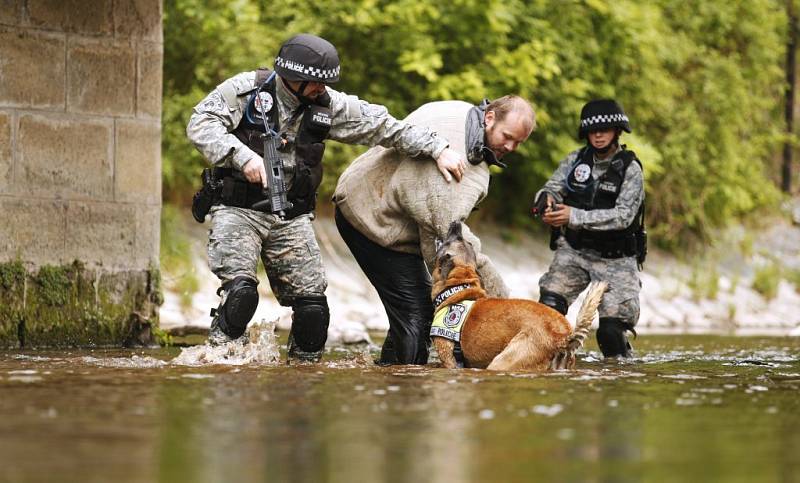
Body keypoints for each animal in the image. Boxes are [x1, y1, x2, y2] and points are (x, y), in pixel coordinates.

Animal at [432, 222, 608, 370]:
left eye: (452, 241)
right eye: (467, 243)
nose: (456, 223)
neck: (458, 286)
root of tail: (562, 336)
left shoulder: (450, 361)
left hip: (503, 360)